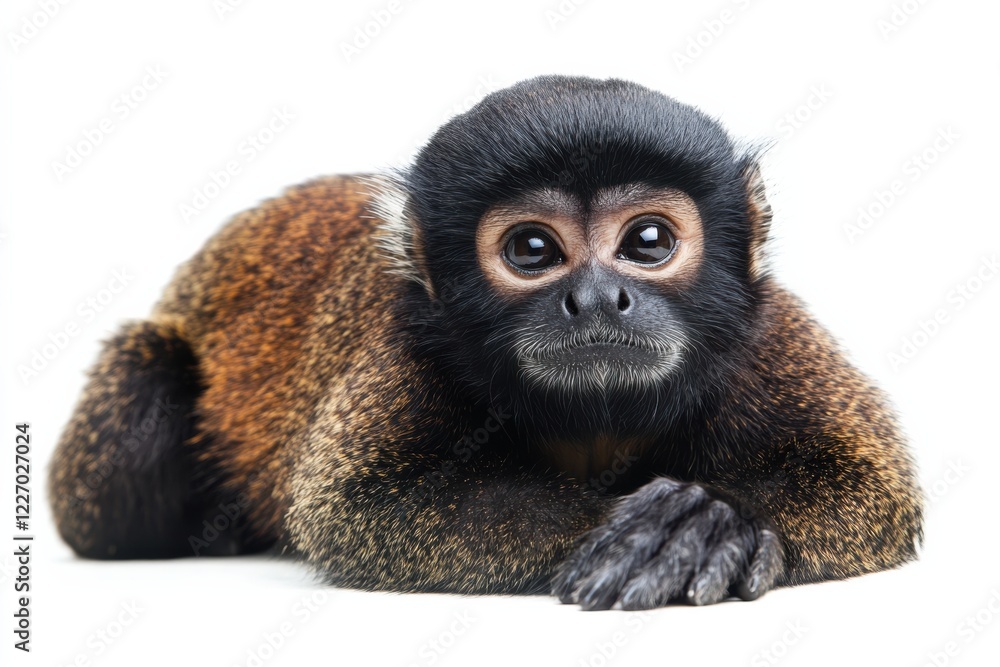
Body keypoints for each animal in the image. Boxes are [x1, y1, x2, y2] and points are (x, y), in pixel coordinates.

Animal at [48, 75, 923, 610]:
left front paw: (714, 518)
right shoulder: (407, 347)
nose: (597, 297)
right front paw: (658, 527)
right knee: (145, 388)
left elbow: (874, 486)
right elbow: (358, 508)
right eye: (532, 250)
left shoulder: (766, 334)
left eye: (647, 240)